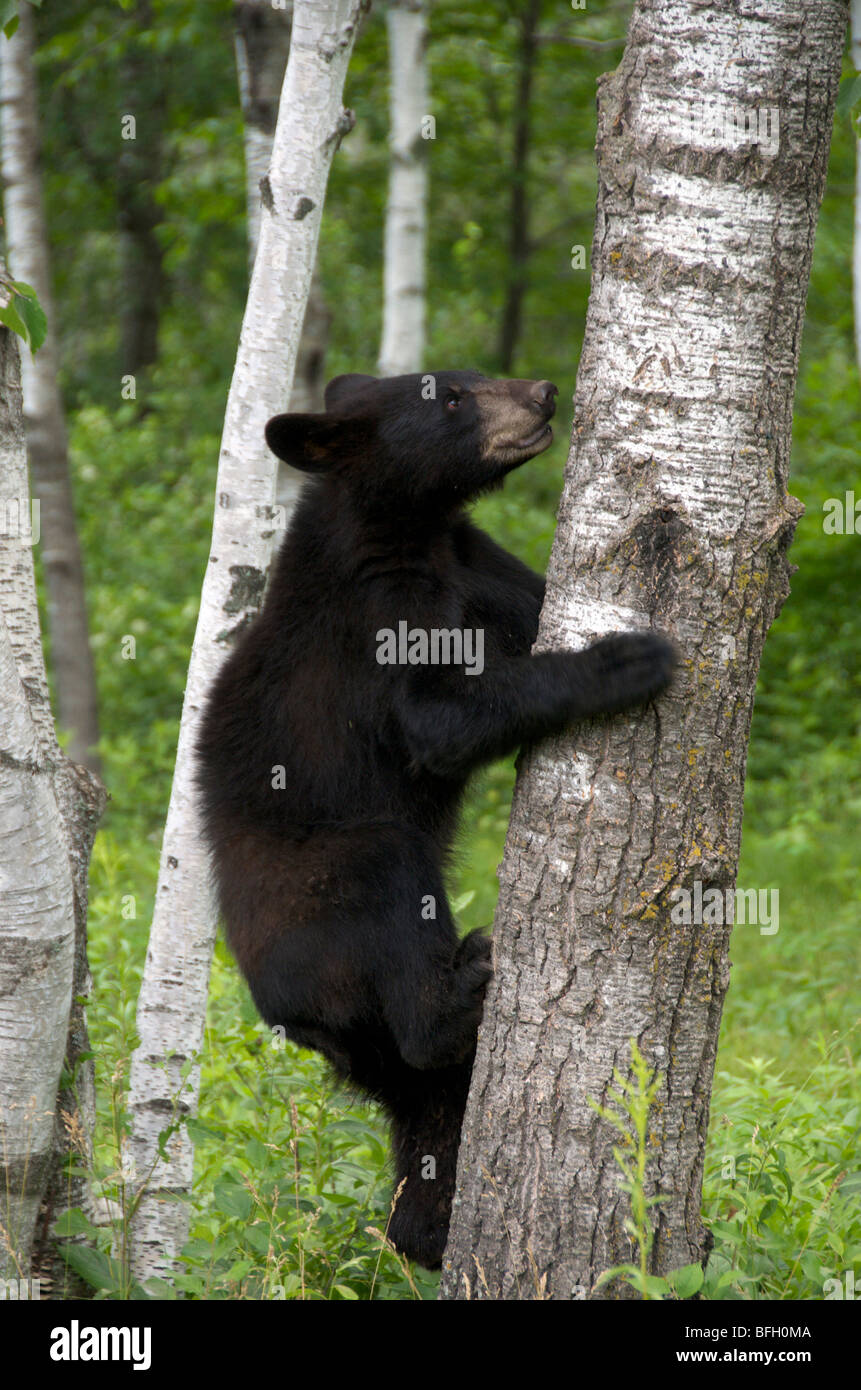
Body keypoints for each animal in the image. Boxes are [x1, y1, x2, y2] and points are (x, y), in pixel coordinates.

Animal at [195, 370, 676, 1270]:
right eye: (448, 397)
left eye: (467, 379)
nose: (543, 391)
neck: (407, 527)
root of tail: (292, 1022)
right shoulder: (377, 607)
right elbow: (439, 718)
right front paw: (624, 659)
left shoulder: (474, 562)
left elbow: (527, 603)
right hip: (334, 889)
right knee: (393, 899)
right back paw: (465, 979)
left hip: (381, 1063)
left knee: (432, 1107)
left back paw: (426, 1232)